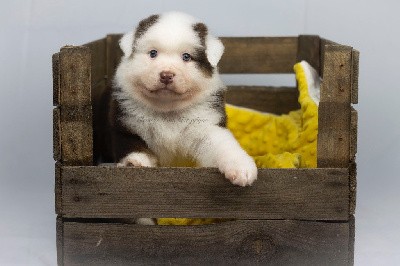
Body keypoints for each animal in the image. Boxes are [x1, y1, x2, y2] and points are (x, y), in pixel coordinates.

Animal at [101, 11, 258, 189]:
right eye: (153, 53)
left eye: (186, 56)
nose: (166, 75)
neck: (168, 110)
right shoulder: (124, 125)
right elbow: (133, 146)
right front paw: (135, 162)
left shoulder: (206, 126)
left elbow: (222, 144)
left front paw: (241, 167)